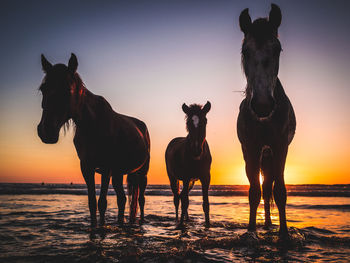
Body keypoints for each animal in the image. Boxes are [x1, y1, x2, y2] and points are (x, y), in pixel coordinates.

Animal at [37, 54, 150, 227]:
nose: (45, 131)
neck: (92, 123)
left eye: (67, 90)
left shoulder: (106, 167)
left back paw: (141, 221)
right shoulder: (86, 166)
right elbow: (92, 203)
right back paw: (121, 222)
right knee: (123, 199)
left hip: (142, 173)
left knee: (141, 200)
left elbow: (102, 202)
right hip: (118, 174)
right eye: (43, 89)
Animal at [238, 4, 296, 236]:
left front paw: (284, 234)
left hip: (270, 155)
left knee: (269, 187)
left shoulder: (280, 147)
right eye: (245, 51)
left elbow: (279, 191)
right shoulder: (251, 149)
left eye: (277, 49)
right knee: (263, 189)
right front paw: (251, 231)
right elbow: (254, 192)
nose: (262, 104)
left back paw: (271, 225)